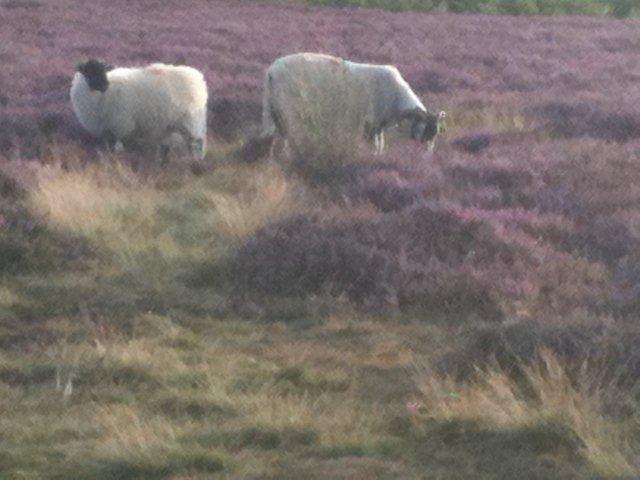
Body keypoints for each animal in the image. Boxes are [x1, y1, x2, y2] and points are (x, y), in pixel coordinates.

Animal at [71, 59, 209, 160]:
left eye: (103, 71)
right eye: (89, 71)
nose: (105, 85)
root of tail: (198, 79)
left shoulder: (120, 123)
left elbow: (117, 144)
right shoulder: (106, 127)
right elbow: (108, 146)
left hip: (190, 119)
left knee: (197, 141)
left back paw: (197, 162)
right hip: (171, 124)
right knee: (176, 144)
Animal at [260, 52, 444, 158]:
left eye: (435, 134)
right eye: (425, 132)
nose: (426, 158)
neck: (397, 100)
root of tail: (271, 71)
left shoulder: (378, 123)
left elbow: (380, 142)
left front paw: (379, 156)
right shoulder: (370, 122)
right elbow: (375, 143)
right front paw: (372, 156)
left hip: (275, 109)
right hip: (288, 109)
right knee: (288, 134)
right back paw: (290, 154)